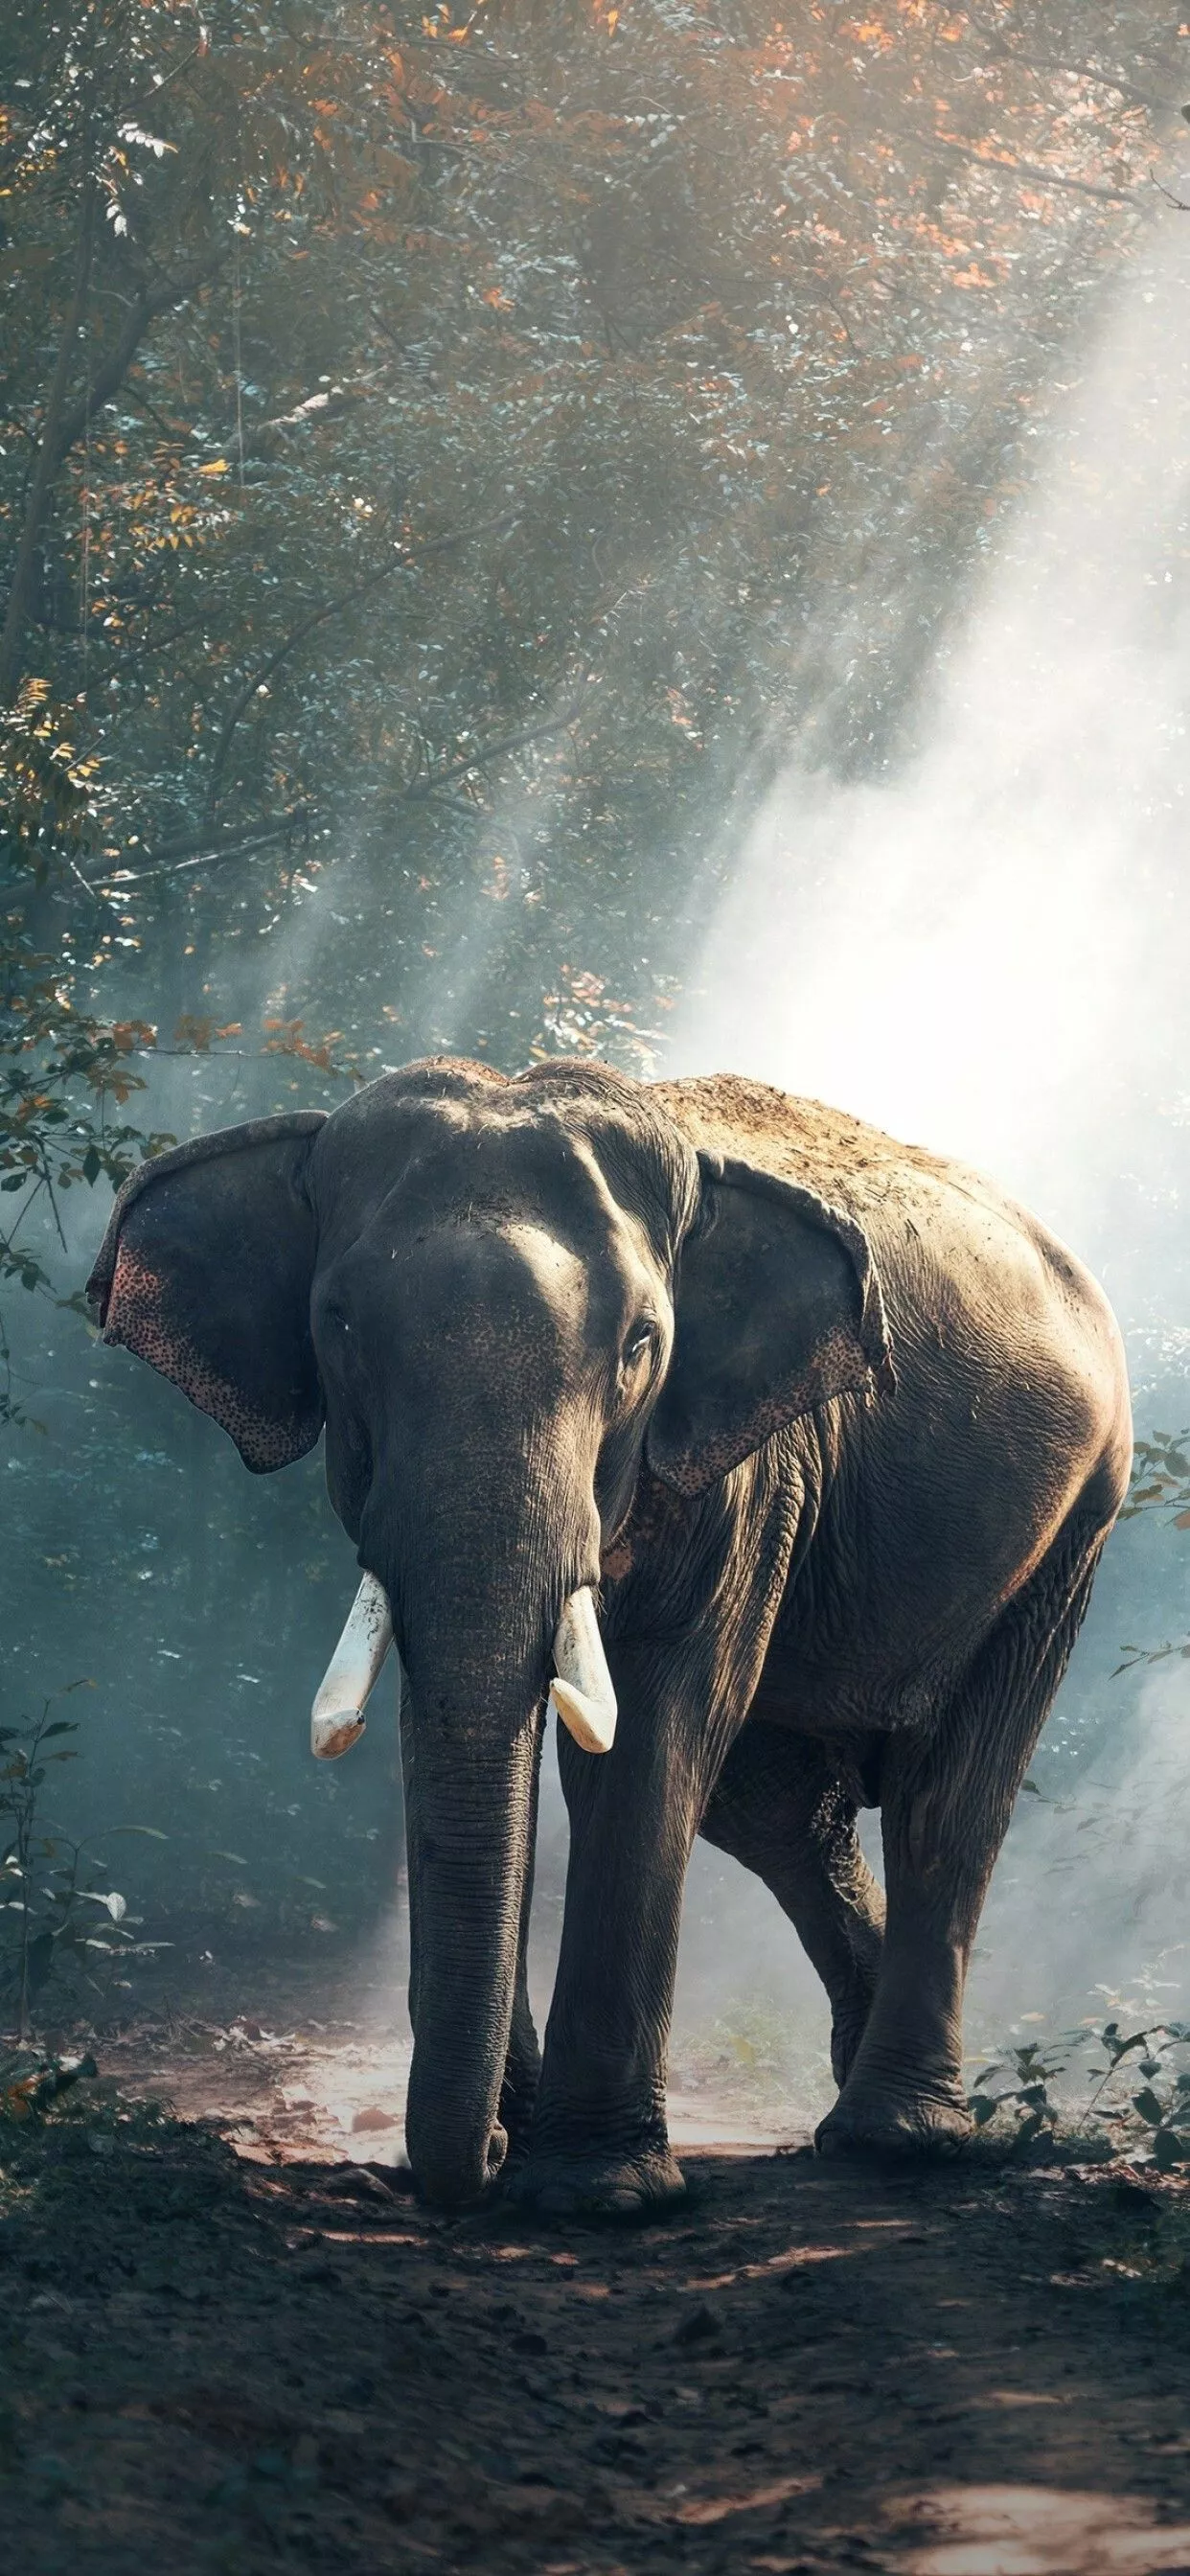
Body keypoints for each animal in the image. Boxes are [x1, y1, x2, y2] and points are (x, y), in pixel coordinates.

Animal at [87, 1057, 1131, 2215]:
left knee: (949, 1796)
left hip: (1075, 1523)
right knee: (779, 1809)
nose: (482, 2157)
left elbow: (653, 1731)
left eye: (640, 1345)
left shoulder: (750, 1468)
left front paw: (595, 2193)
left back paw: (895, 2140)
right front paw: (527, 2141)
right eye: (341, 1327)